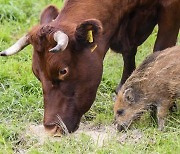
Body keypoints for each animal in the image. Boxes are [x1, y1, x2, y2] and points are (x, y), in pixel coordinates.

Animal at [0, 0, 180, 134]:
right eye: (37, 73)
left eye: (62, 71)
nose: (51, 129)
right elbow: (129, 57)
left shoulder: (170, 10)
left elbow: (160, 51)